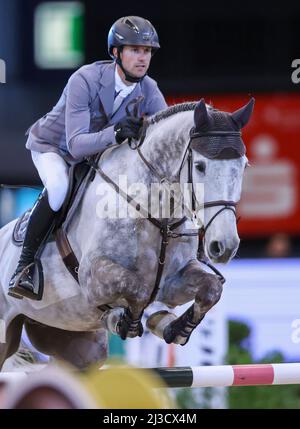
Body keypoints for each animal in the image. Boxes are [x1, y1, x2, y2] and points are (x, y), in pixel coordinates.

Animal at [0, 98, 253, 368]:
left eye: (243, 165)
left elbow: (211, 288)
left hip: (73, 340)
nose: (224, 246)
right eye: (200, 166)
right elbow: (137, 288)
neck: (158, 216)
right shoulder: (94, 277)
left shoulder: (174, 280)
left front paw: (175, 327)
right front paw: (123, 320)